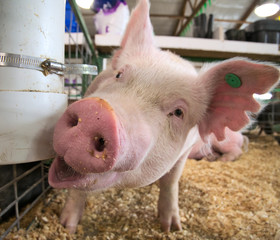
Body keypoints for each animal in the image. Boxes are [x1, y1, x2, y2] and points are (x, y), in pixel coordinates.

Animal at [47, 0, 278, 233]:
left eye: (178, 112)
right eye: (119, 74)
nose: (96, 113)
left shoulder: (184, 152)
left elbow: (170, 182)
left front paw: (172, 228)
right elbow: (77, 187)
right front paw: (67, 227)